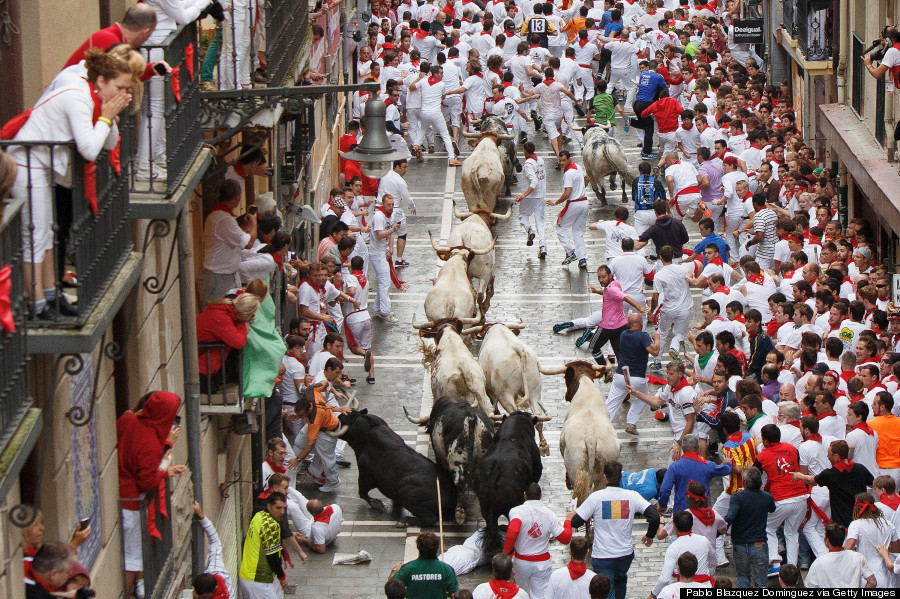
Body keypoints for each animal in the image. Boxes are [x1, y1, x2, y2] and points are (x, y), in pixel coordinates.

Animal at [474, 326, 552, 458]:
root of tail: (517, 348)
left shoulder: (490, 389)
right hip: (534, 390)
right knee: (538, 415)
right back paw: (543, 446)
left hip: (505, 394)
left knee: (514, 411)